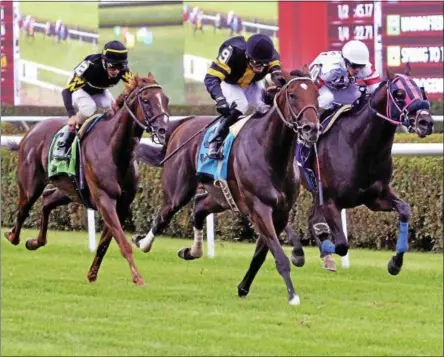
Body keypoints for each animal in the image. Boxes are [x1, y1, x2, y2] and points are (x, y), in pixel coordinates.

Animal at [3, 73, 170, 286]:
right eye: (146, 100)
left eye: (166, 99)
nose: (163, 130)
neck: (114, 148)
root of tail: (30, 132)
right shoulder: (104, 199)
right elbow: (123, 243)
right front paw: (138, 278)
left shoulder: (121, 205)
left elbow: (105, 243)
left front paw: (92, 274)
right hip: (30, 184)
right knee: (24, 208)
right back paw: (12, 236)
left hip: (70, 191)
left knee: (47, 200)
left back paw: (35, 242)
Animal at [134, 68, 320, 304]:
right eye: (293, 95)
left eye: (316, 94)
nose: (311, 128)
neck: (270, 152)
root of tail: (181, 125)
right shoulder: (259, 209)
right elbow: (278, 255)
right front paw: (293, 296)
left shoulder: (281, 212)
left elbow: (261, 255)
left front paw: (243, 287)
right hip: (178, 191)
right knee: (163, 215)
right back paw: (143, 243)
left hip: (220, 196)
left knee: (199, 207)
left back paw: (192, 251)